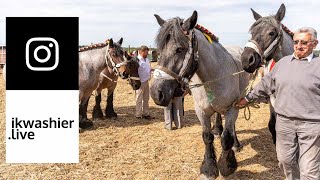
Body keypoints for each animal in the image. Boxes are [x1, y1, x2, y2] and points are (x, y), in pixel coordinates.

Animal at [151, 11, 251, 179]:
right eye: (158, 51)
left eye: (179, 49)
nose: (156, 93)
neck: (214, 75)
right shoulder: (201, 111)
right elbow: (207, 137)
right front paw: (209, 168)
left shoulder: (232, 108)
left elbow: (227, 138)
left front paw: (226, 166)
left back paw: (236, 144)